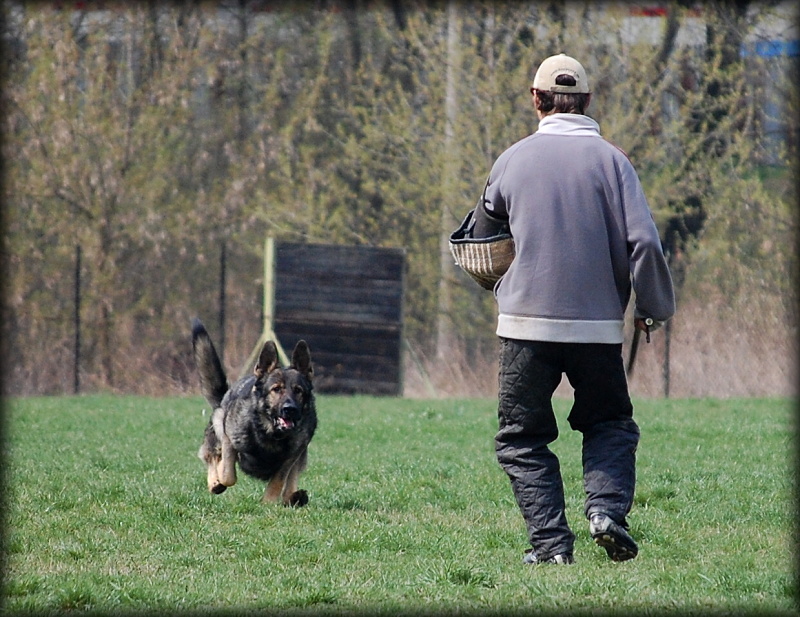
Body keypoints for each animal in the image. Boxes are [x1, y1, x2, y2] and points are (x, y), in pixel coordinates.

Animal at [192, 318, 318, 506]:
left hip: (301, 456)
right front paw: (219, 480)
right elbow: (228, 475)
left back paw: (294, 498)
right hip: (218, 420)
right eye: (276, 389)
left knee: (290, 484)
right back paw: (215, 482)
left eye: (298, 390)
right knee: (212, 455)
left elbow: (278, 481)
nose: (290, 409)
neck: (271, 433)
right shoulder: (229, 439)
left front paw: (269, 502)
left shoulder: (291, 457)